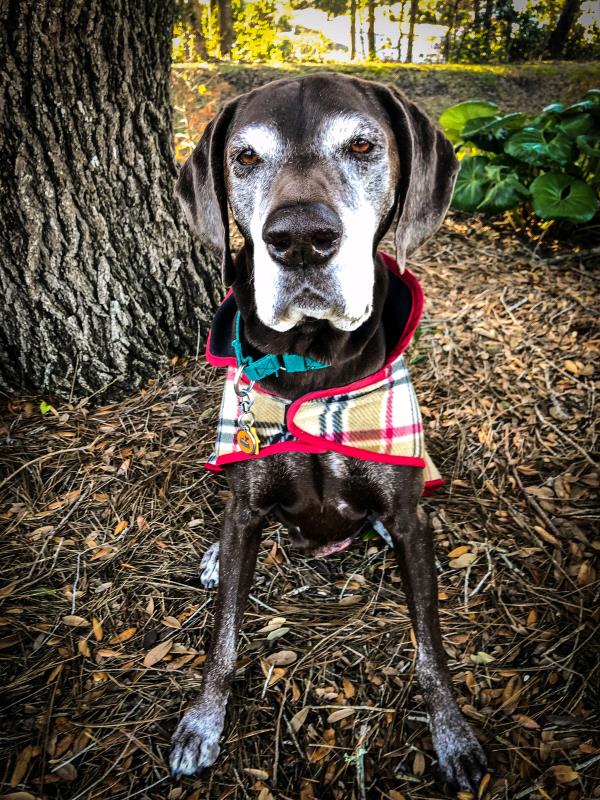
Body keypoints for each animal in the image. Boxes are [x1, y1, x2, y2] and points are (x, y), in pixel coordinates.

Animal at [170, 75, 488, 792]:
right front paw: (202, 721)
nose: (300, 239)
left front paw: (454, 734)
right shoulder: (248, 503)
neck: (313, 362)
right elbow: (222, 636)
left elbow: (431, 649)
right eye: (245, 158)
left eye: (363, 145)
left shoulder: (408, 517)